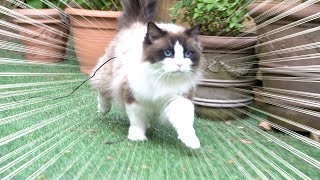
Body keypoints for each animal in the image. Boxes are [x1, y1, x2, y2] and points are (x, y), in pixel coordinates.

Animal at [90, 0, 202, 149]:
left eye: (187, 54)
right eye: (168, 53)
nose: (179, 64)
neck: (162, 79)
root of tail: (136, 25)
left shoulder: (178, 99)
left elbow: (185, 122)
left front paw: (191, 141)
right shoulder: (134, 98)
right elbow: (136, 122)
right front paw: (137, 137)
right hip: (108, 76)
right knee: (103, 91)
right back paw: (103, 109)